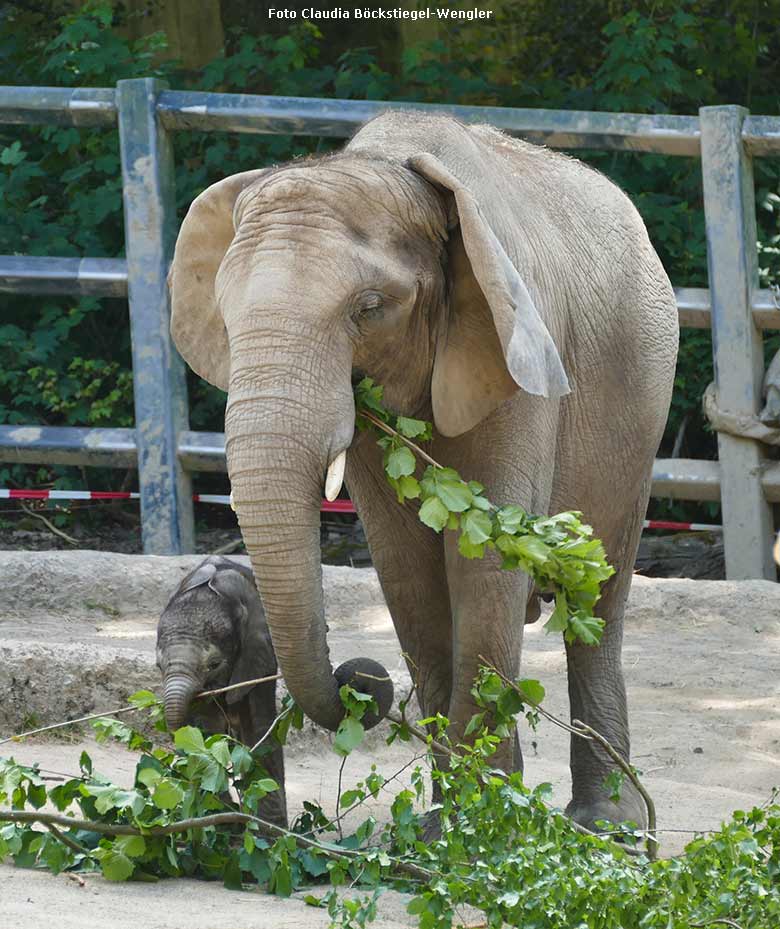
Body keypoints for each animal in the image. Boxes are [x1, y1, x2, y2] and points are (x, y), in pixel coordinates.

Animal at [155, 560, 286, 828]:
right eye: (159, 667)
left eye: (214, 664)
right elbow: (206, 732)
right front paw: (222, 820)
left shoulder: (257, 658)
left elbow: (259, 728)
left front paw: (270, 830)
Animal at [169, 109, 676, 828]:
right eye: (225, 314)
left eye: (370, 307)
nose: (360, 677)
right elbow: (407, 575)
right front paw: (443, 829)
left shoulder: (514, 350)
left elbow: (482, 569)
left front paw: (489, 830)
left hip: (642, 405)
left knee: (599, 596)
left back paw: (612, 827)